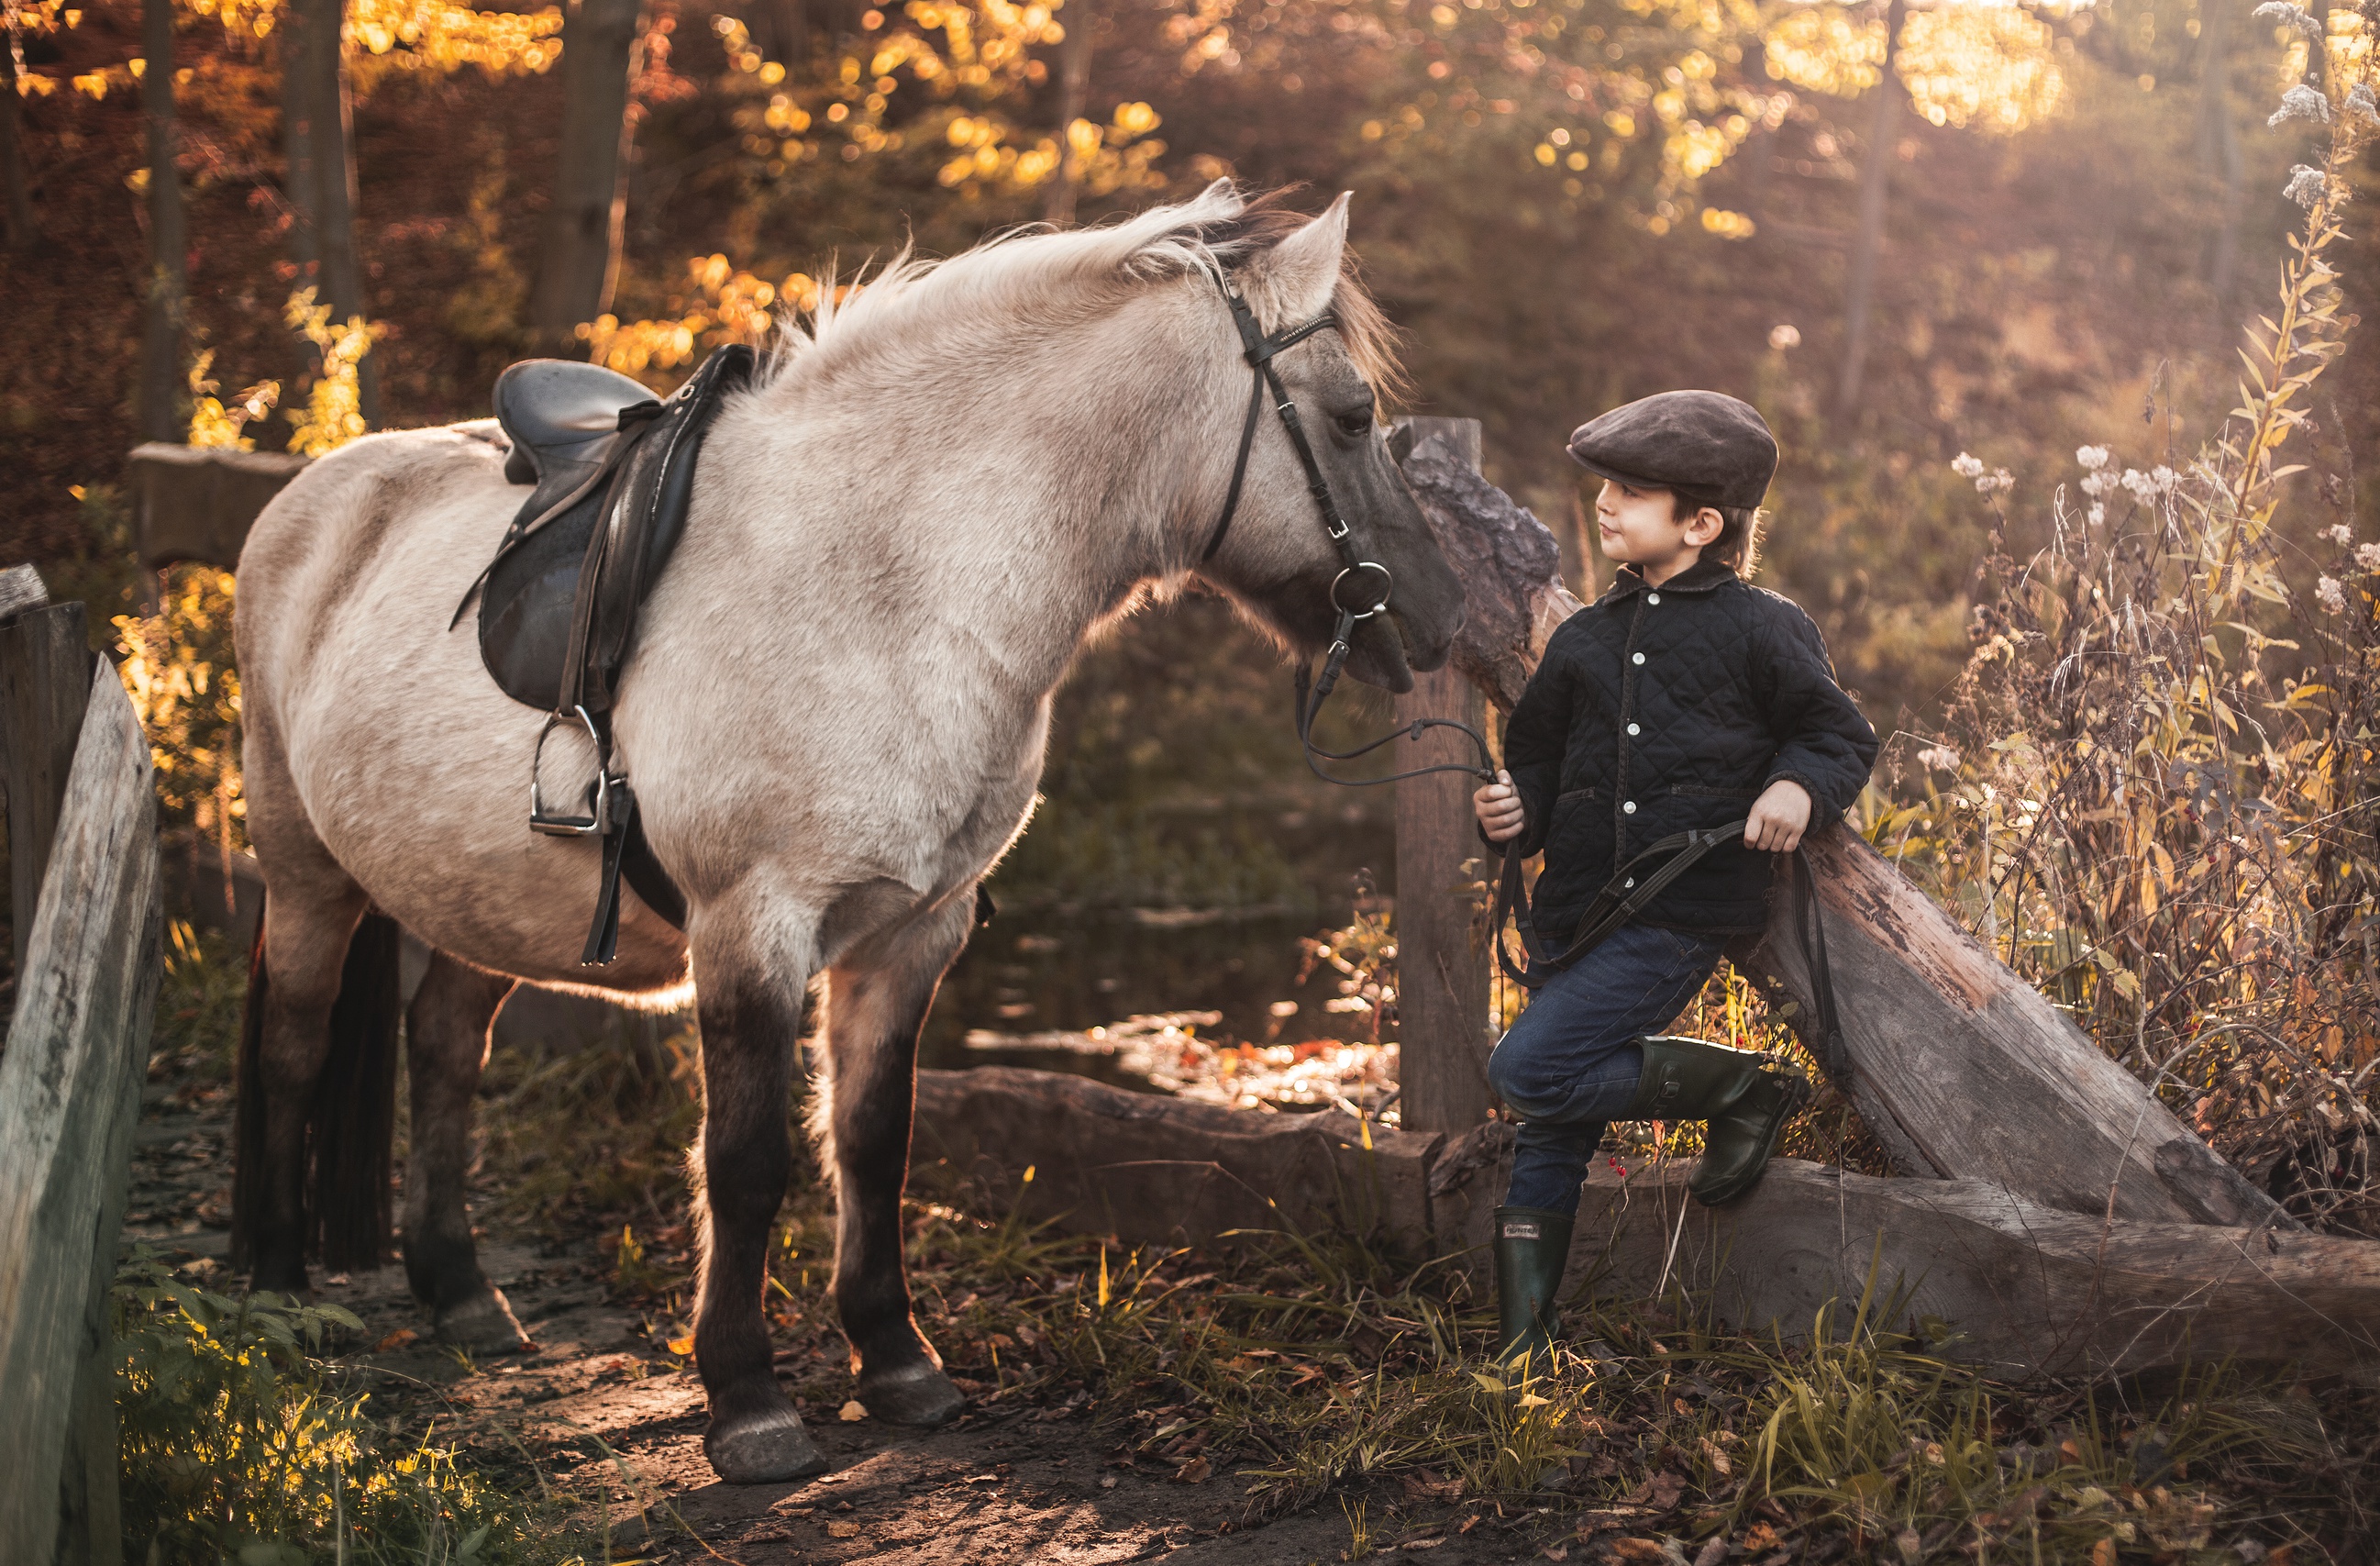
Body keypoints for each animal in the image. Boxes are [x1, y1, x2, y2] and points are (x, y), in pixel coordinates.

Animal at [237, 183, 1466, 1475]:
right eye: (1353, 415)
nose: (1441, 617)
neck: (886, 589)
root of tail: (313, 495)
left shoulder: (913, 933)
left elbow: (873, 1141)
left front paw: (895, 1360)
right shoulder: (752, 929)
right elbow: (746, 1162)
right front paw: (748, 1401)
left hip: (481, 897)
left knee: (442, 1046)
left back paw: (462, 1293)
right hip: (307, 874)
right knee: (294, 1047)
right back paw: (275, 1292)